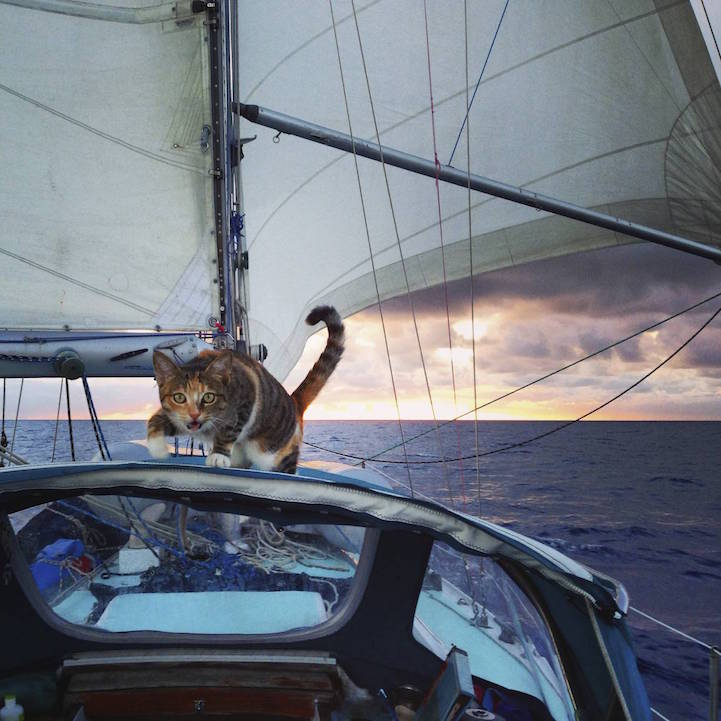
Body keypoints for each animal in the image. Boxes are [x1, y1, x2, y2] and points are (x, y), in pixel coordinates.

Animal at [146, 304, 344, 472]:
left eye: (209, 397)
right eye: (179, 397)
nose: (194, 415)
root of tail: (293, 401)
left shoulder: (246, 396)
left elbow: (229, 428)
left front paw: (218, 455)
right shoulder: (179, 418)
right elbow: (155, 420)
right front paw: (157, 448)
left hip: (275, 450)